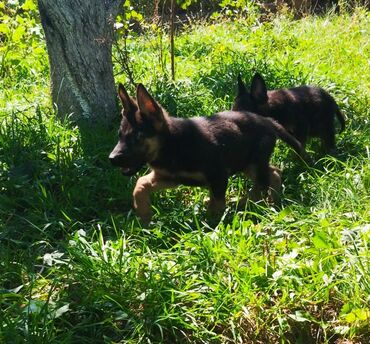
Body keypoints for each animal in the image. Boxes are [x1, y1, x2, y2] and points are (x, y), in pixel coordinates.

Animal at [107, 82, 304, 223]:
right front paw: (144, 213)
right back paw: (273, 200)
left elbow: (217, 205)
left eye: (138, 137)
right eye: (119, 136)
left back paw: (244, 203)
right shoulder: (169, 177)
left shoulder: (218, 176)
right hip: (244, 163)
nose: (112, 159)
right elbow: (140, 183)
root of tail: (268, 121)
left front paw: (211, 225)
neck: (172, 145)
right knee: (274, 173)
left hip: (252, 162)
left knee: (261, 184)